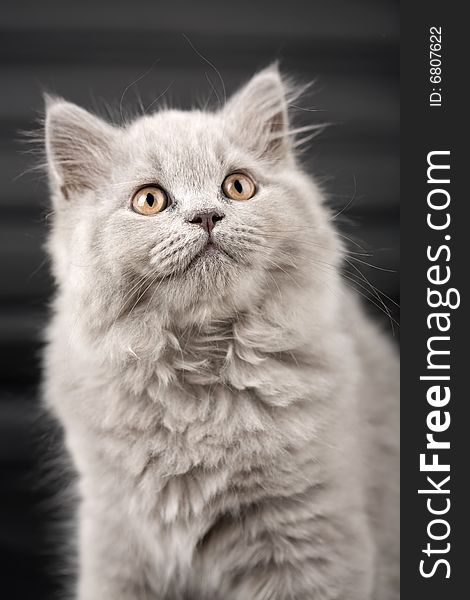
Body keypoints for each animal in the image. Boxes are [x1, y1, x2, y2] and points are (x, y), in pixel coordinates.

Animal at [42, 65, 398, 600]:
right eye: (150, 200)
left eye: (237, 187)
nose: (207, 215)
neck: (200, 378)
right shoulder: (118, 541)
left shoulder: (310, 534)